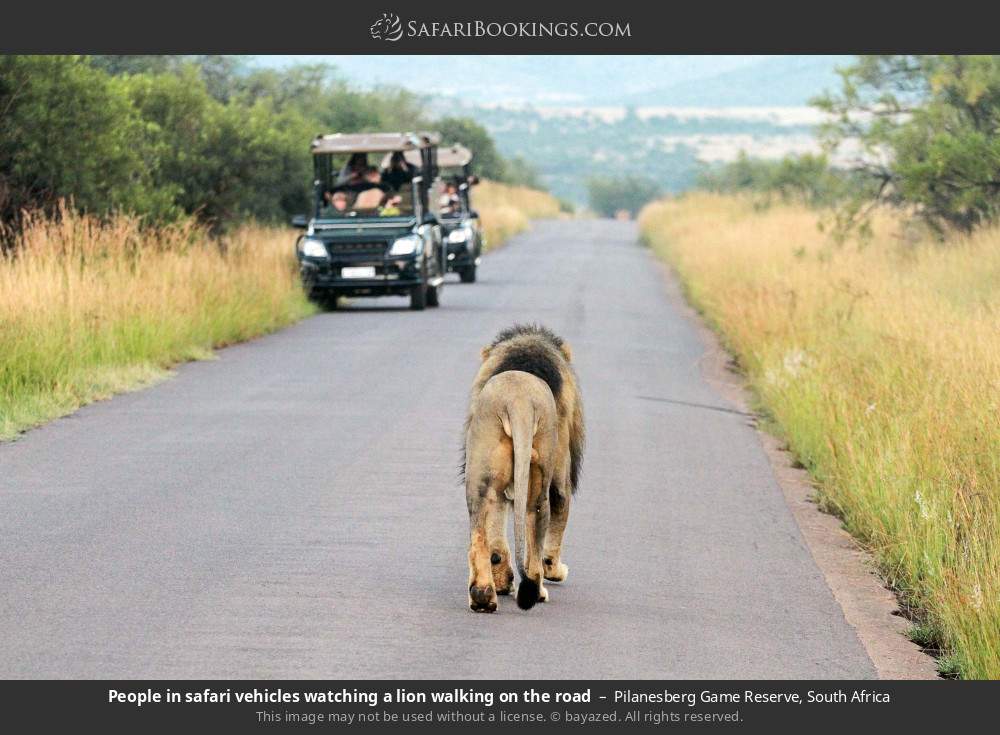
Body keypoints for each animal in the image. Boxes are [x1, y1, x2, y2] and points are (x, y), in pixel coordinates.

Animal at [462, 324, 585, 612]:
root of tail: (518, 402)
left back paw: (483, 595)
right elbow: (557, 524)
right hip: (540, 482)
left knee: (480, 538)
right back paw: (537, 591)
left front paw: (502, 583)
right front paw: (556, 571)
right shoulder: (560, 479)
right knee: (534, 545)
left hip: (479, 478)